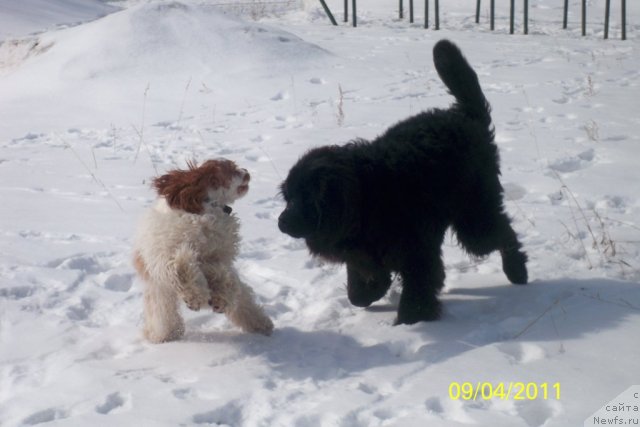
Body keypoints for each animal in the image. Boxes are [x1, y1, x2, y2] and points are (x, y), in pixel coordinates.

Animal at [134, 159, 274, 342]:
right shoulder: (166, 256)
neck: (207, 209)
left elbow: (223, 276)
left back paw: (260, 323)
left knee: (243, 300)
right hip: (160, 294)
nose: (246, 171)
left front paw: (220, 297)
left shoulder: (217, 258)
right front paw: (196, 296)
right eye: (231, 168)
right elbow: (182, 266)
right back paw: (164, 334)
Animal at [278, 40, 528, 326]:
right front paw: (372, 293)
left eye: (307, 198)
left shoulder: (417, 253)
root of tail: (467, 116)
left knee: (504, 234)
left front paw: (410, 322)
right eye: (288, 197)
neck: (369, 198)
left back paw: (517, 271)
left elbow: (416, 296)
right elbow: (359, 290)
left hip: (474, 220)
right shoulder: (365, 253)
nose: (281, 222)